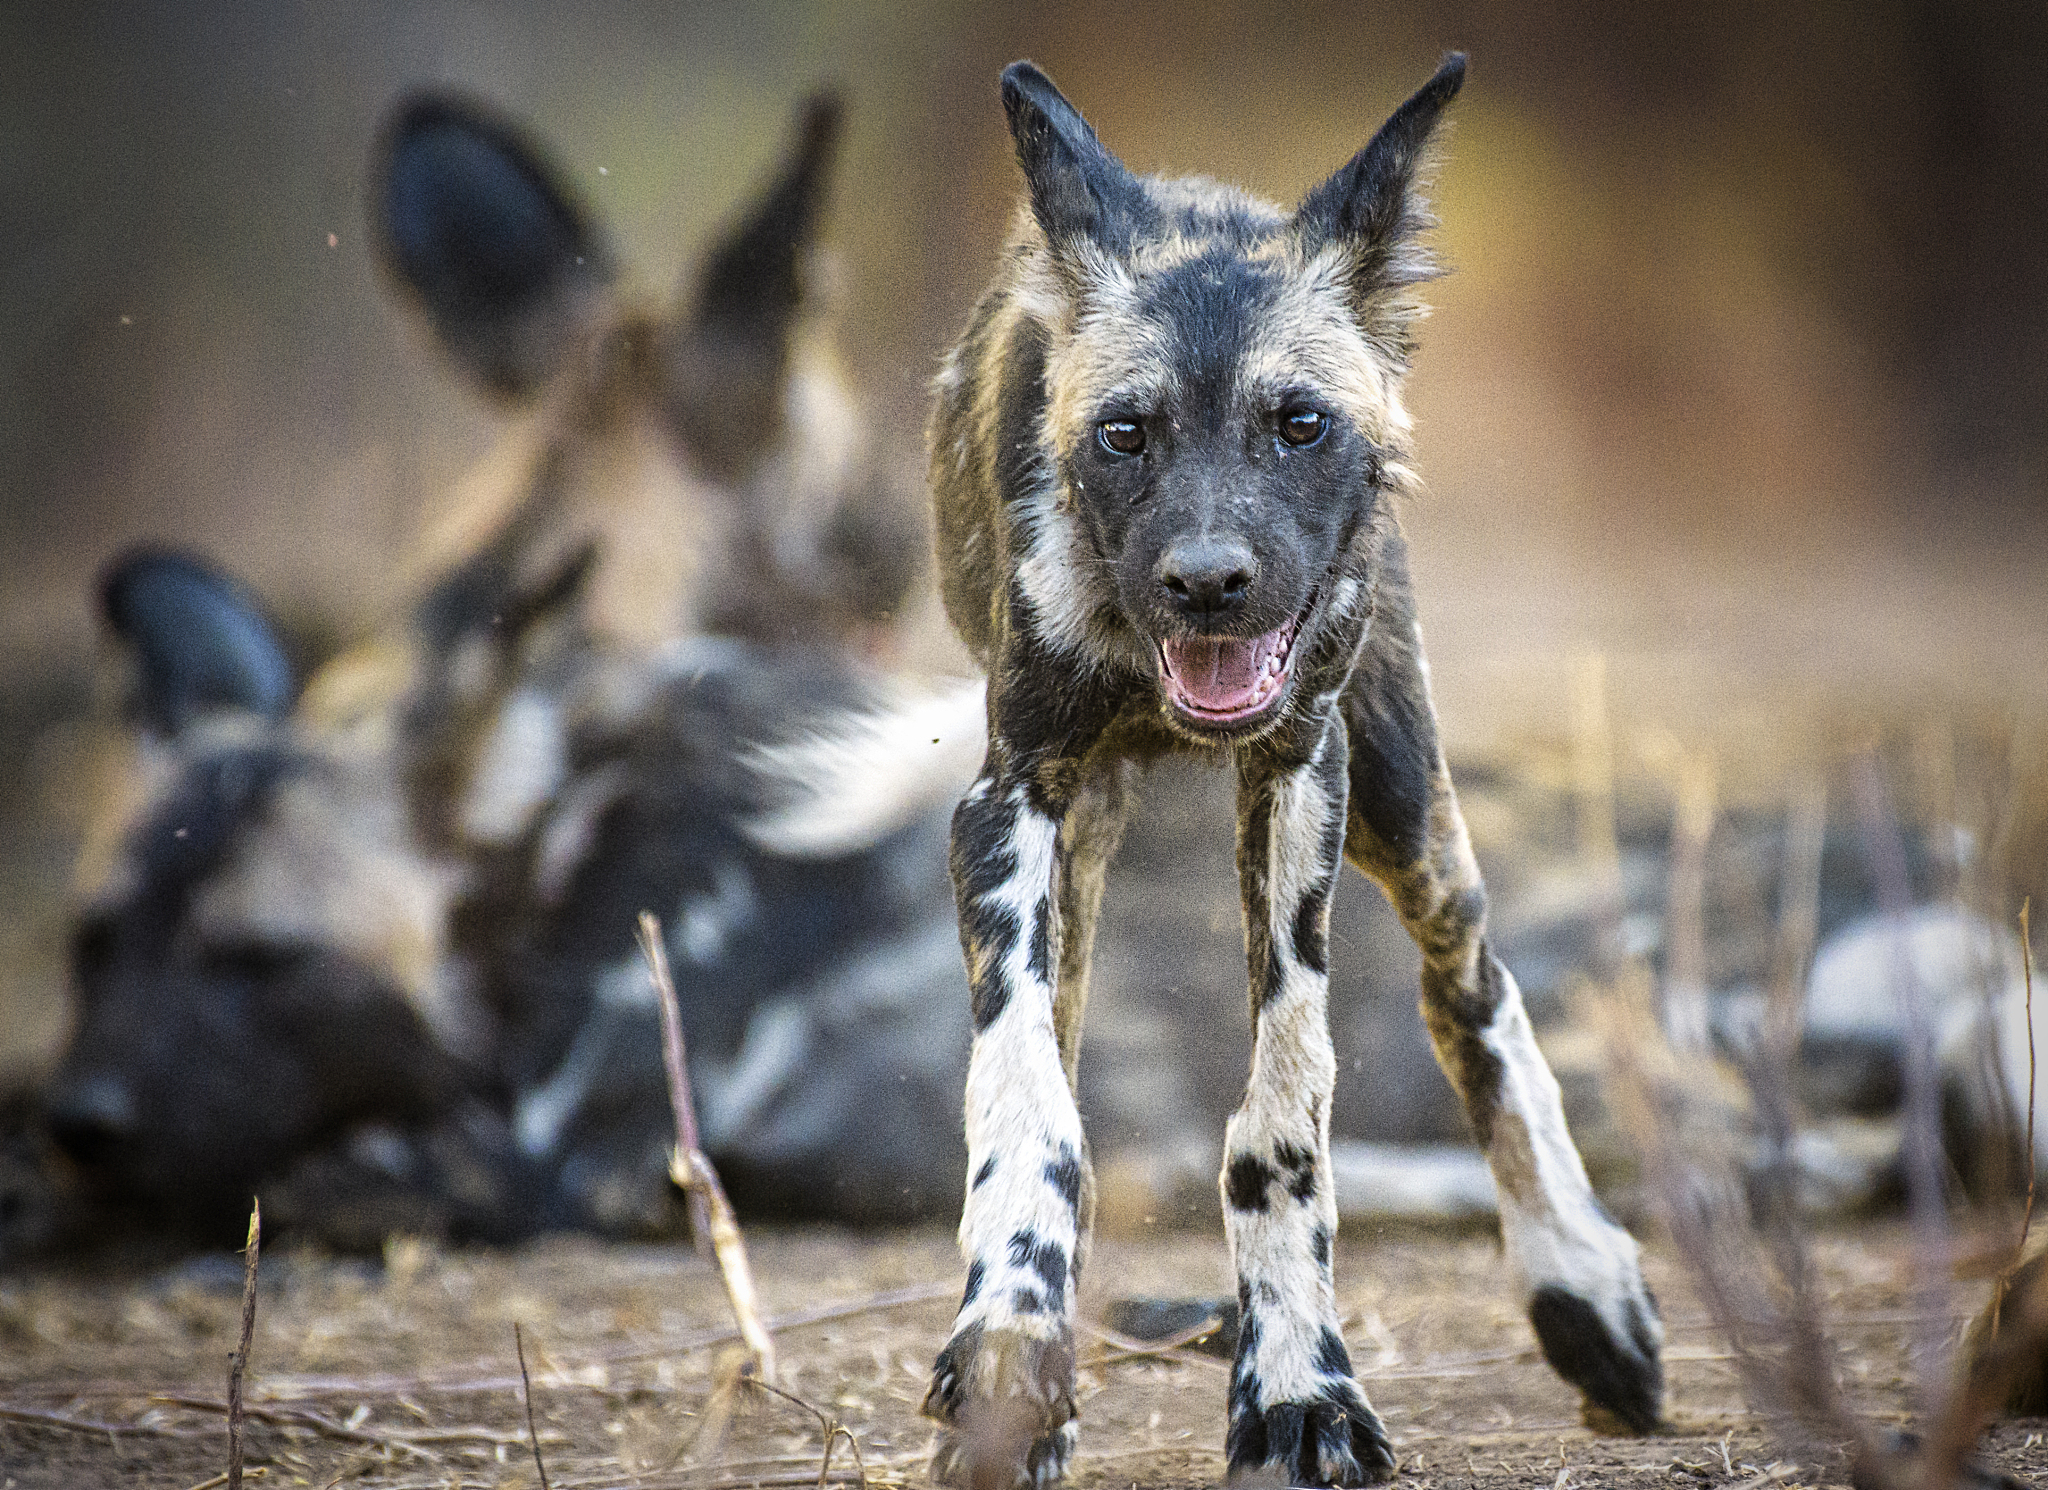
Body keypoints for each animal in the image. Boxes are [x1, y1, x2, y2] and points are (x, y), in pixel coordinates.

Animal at [918, 54, 1665, 1487]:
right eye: (1125, 433)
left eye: (1298, 424)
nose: (1208, 580)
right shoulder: (1010, 800)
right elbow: (1026, 1102)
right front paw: (1012, 1345)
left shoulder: (1296, 777)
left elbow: (1283, 1115)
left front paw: (1296, 1386)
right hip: (1088, 844)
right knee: (1063, 1037)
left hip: (1400, 803)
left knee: (1471, 993)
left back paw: (1580, 1286)